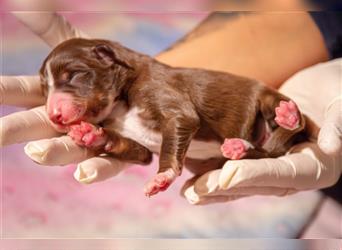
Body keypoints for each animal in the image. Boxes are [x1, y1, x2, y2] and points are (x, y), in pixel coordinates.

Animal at [39, 37, 308, 197]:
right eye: (44, 88)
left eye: (74, 75)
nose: (54, 115)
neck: (119, 104)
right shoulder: (137, 146)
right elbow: (137, 151)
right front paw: (89, 134)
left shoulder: (169, 102)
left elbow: (174, 137)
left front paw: (162, 177)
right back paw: (239, 149)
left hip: (266, 97)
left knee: (280, 140)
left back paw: (287, 117)